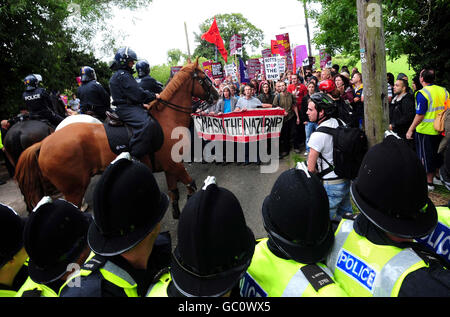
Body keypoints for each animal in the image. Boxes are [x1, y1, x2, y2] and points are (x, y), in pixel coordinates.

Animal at [14, 59, 218, 217]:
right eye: (203, 78)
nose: (216, 94)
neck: (167, 118)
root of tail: (44, 143)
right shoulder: (174, 165)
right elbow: (191, 184)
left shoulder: (170, 166)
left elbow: (174, 192)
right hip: (73, 190)